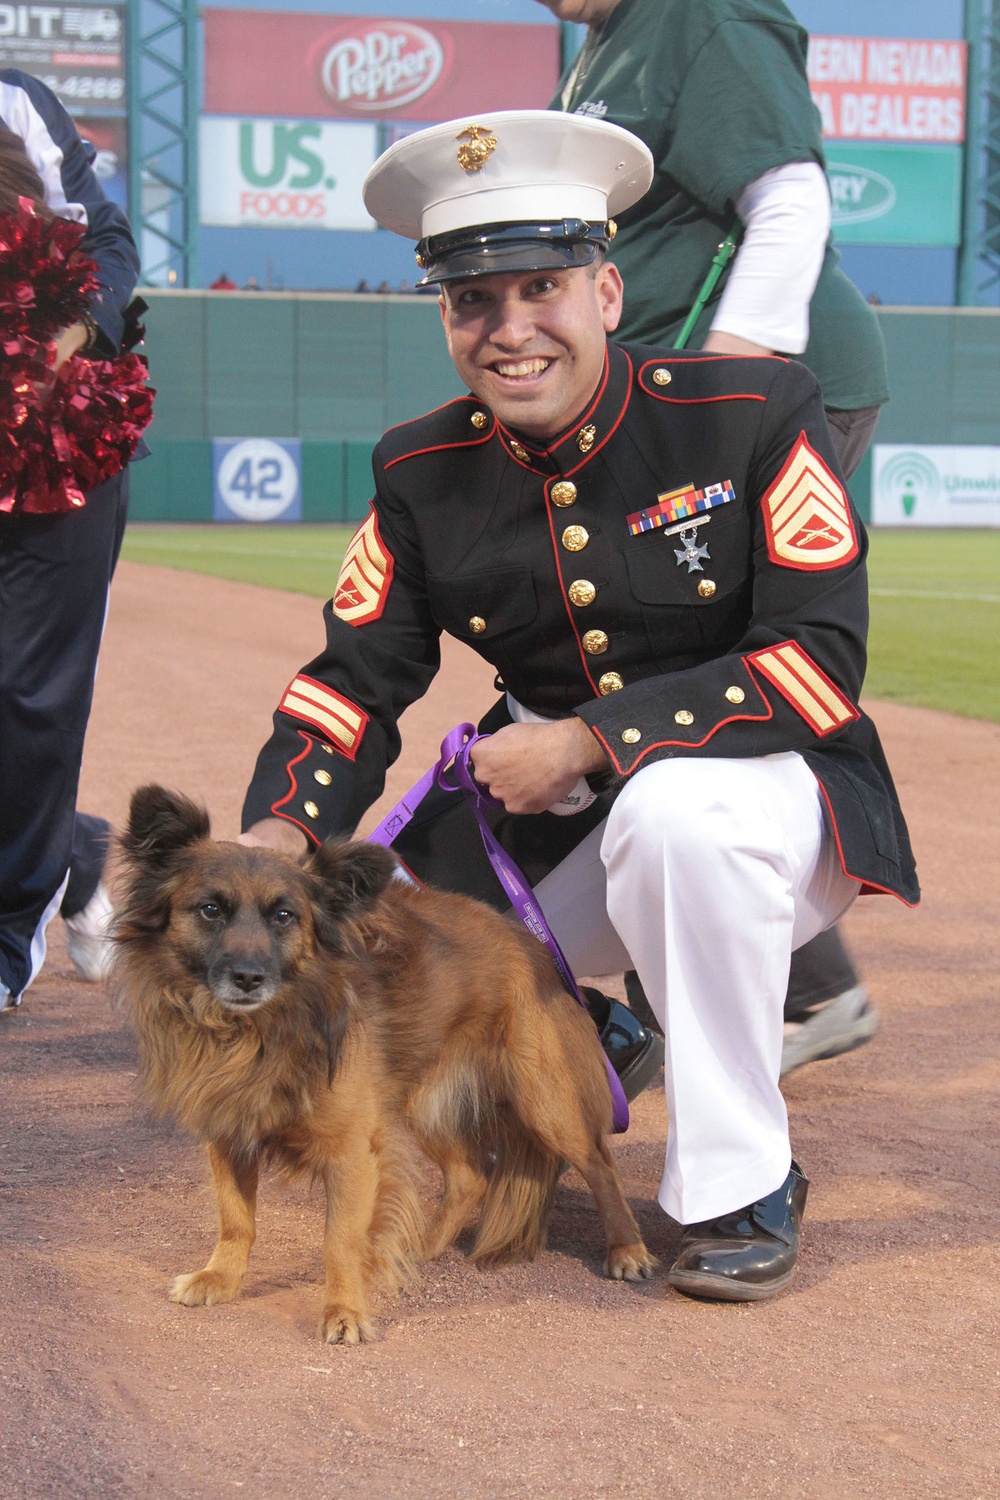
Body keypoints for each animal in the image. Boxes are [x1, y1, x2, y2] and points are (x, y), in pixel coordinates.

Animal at [113, 786, 656, 1350]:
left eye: (284, 916)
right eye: (210, 910)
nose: (247, 976)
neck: (258, 1031)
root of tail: (532, 943)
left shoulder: (352, 1148)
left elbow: (339, 1240)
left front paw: (345, 1310)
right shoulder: (228, 1133)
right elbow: (235, 1219)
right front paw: (220, 1278)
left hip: (545, 1101)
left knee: (599, 1165)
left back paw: (626, 1249)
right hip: (422, 1103)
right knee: (470, 1176)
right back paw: (422, 1245)